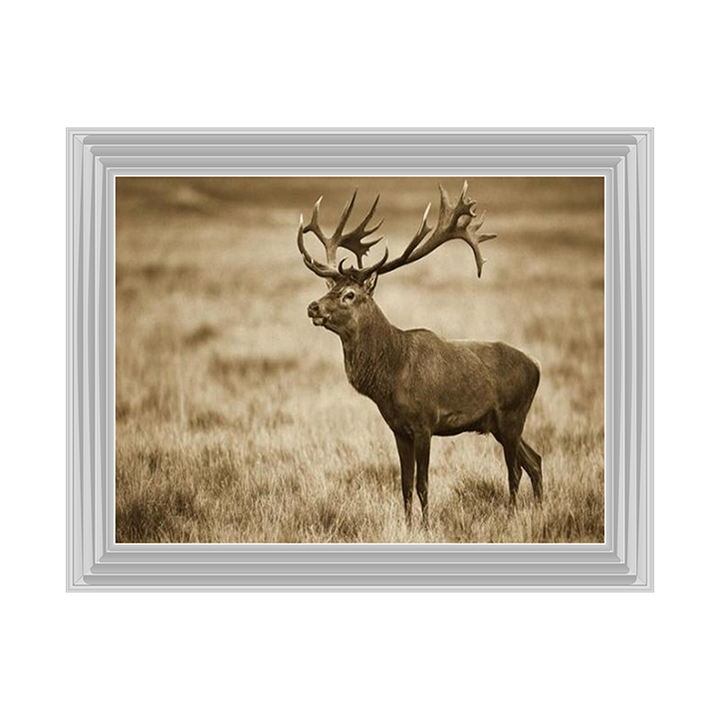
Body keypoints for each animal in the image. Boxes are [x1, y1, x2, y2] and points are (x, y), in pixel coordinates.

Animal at [297, 181, 543, 528]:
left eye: (350, 294)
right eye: (329, 288)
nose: (313, 307)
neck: (390, 376)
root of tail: (536, 367)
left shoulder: (425, 422)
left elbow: (424, 483)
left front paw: (425, 527)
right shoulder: (398, 429)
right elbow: (405, 484)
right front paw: (407, 524)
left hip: (512, 415)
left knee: (515, 470)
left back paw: (511, 516)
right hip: (498, 424)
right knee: (535, 460)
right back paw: (540, 509)